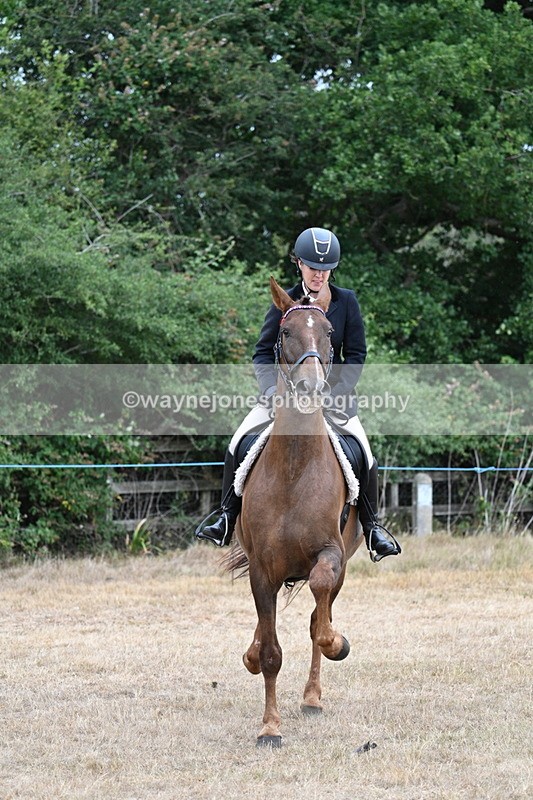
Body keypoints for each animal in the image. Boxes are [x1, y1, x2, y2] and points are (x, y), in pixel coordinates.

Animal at [226, 276, 364, 747]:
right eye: (285, 332)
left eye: (329, 333)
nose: (311, 388)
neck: (294, 468)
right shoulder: (261, 568)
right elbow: (270, 652)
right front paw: (270, 727)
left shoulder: (331, 554)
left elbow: (319, 614)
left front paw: (337, 643)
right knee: (266, 626)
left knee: (317, 614)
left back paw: (313, 697)